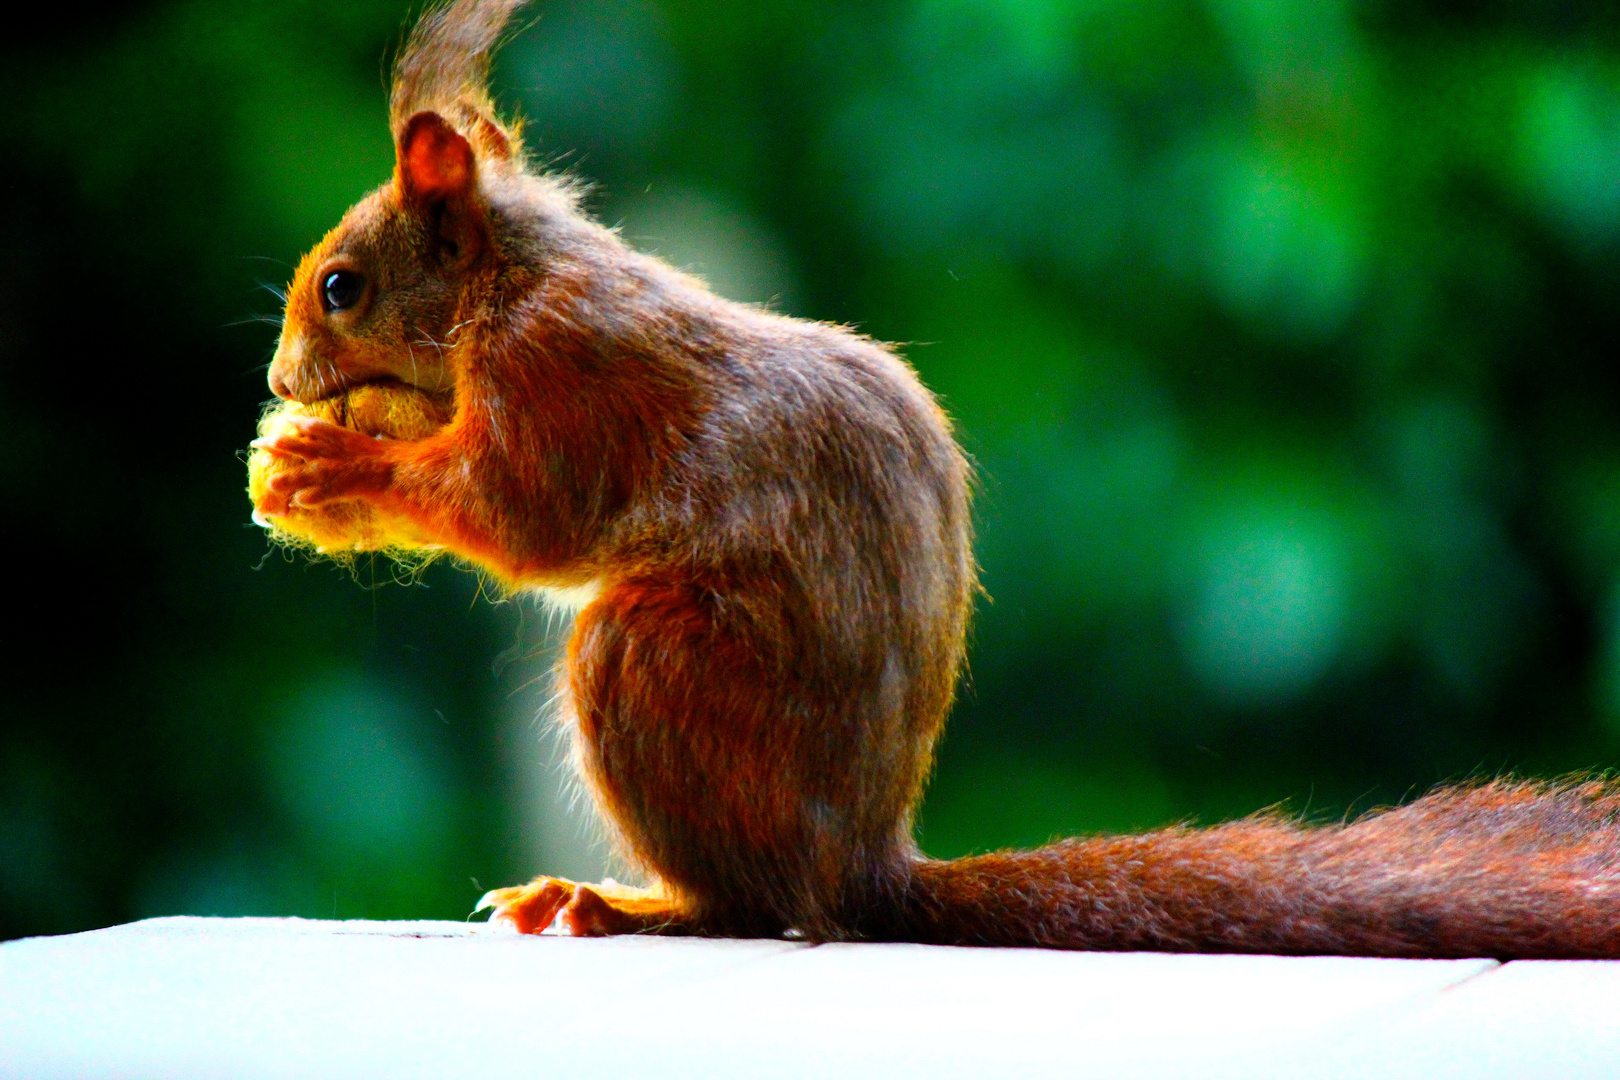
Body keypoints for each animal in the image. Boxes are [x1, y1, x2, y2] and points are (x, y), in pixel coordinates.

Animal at [249, 0, 1620, 965]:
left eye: (342, 288)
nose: (279, 373)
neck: (513, 276)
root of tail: (865, 863)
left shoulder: (563, 377)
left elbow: (520, 517)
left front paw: (333, 466)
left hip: (651, 660)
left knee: (757, 907)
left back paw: (626, 904)